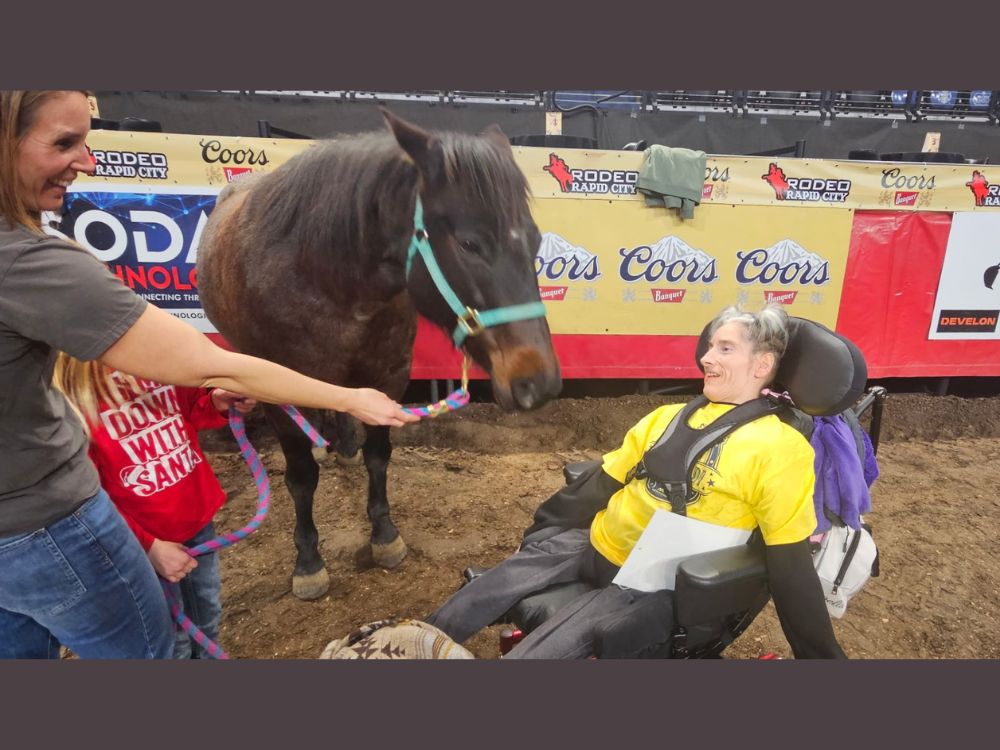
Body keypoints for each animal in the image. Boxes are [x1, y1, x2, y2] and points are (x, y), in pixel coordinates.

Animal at [196, 109, 562, 599]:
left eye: (537, 240)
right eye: (469, 244)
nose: (539, 382)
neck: (322, 276)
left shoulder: (388, 375)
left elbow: (378, 456)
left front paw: (385, 536)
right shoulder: (276, 392)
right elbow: (300, 477)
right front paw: (308, 562)